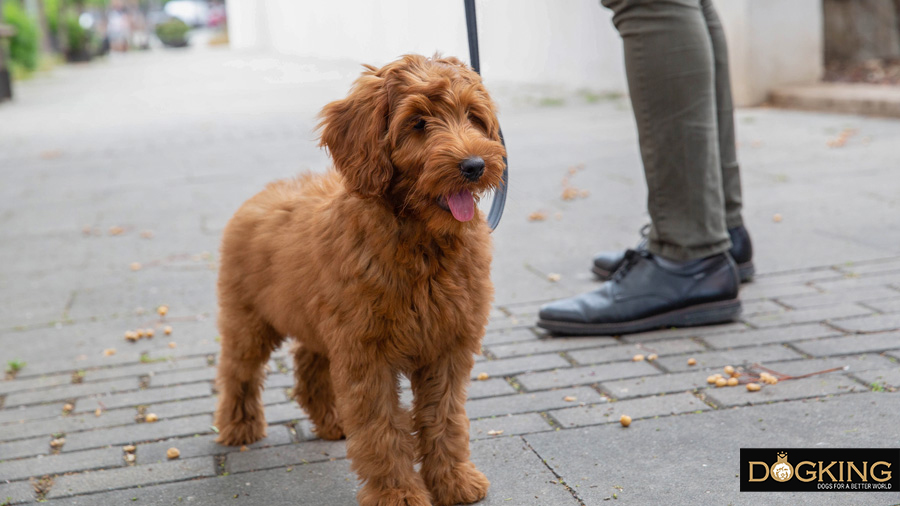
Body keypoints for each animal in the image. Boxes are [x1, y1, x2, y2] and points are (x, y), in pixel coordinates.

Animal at [212, 55, 506, 506]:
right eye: (418, 122)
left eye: (473, 116)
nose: (474, 166)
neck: (423, 245)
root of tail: (263, 193)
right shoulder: (367, 354)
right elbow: (381, 429)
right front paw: (399, 493)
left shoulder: (446, 347)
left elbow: (445, 418)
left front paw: (454, 481)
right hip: (249, 319)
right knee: (236, 370)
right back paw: (238, 426)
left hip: (318, 319)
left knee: (308, 362)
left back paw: (333, 421)